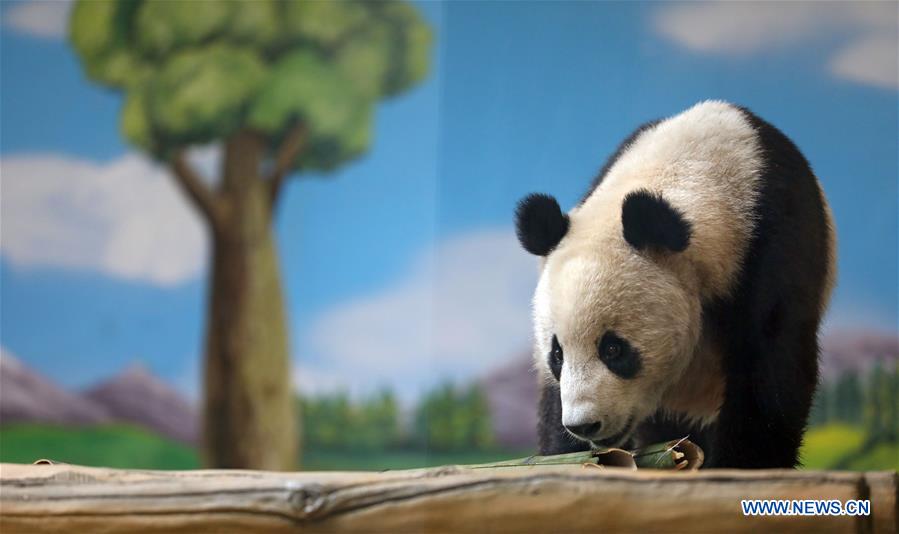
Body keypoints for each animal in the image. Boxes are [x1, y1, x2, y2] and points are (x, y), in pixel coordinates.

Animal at [514, 101, 835, 468]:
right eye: (557, 354)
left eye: (613, 349)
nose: (584, 425)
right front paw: (567, 456)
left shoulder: (774, 242)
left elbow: (770, 369)